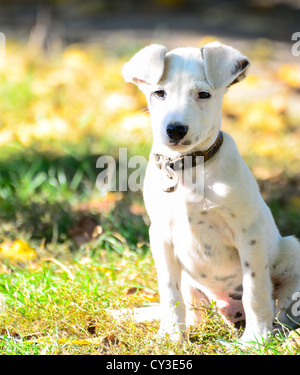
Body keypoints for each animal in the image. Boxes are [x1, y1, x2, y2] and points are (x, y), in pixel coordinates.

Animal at [122, 42, 300, 346]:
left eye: (203, 94)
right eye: (159, 93)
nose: (175, 129)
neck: (187, 170)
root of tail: (228, 309)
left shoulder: (248, 234)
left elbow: (255, 290)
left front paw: (255, 339)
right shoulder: (160, 235)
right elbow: (169, 292)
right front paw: (171, 336)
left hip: (292, 253)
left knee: (280, 307)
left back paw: (279, 333)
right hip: (192, 283)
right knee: (192, 307)